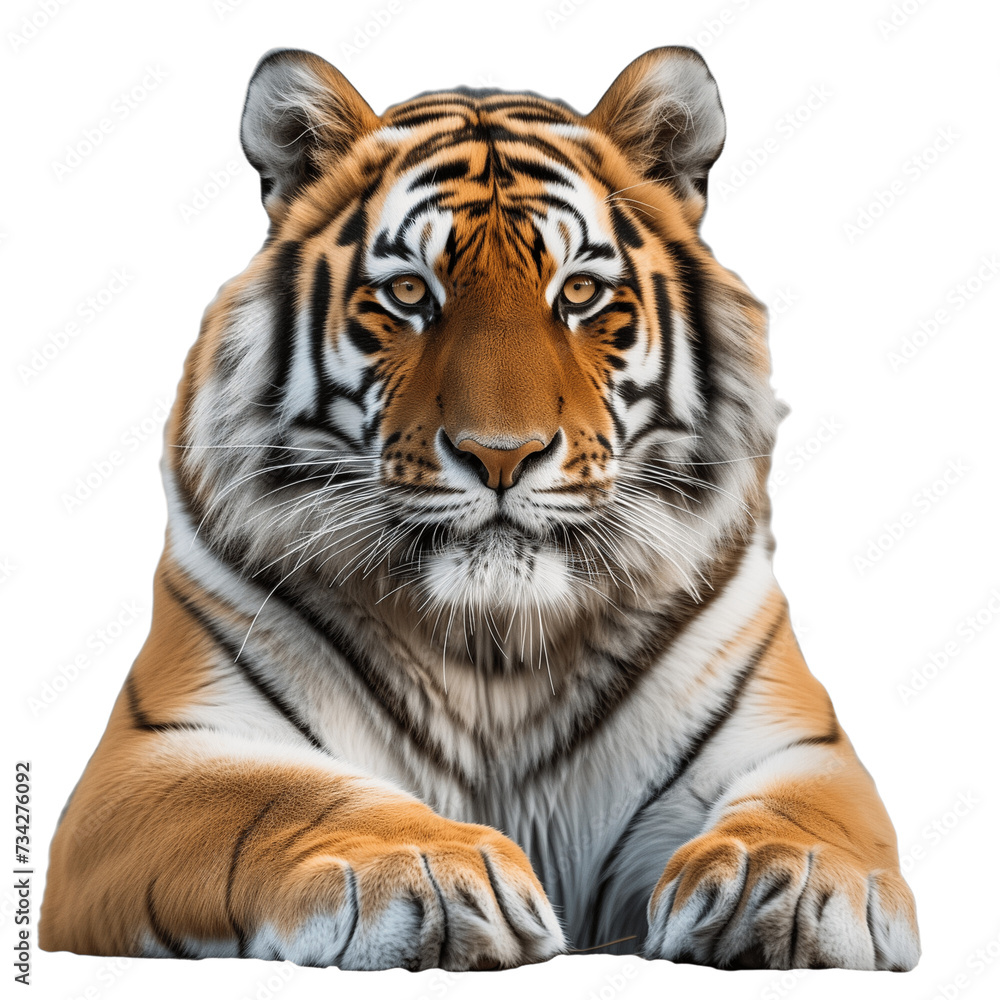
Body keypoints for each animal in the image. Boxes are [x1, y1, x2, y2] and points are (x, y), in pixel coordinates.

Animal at [40, 45, 920, 972]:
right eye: (406, 294)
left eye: (579, 294)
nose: (503, 454)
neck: (496, 648)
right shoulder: (152, 754)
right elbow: (278, 795)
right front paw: (426, 867)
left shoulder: (790, 740)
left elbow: (814, 811)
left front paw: (788, 877)